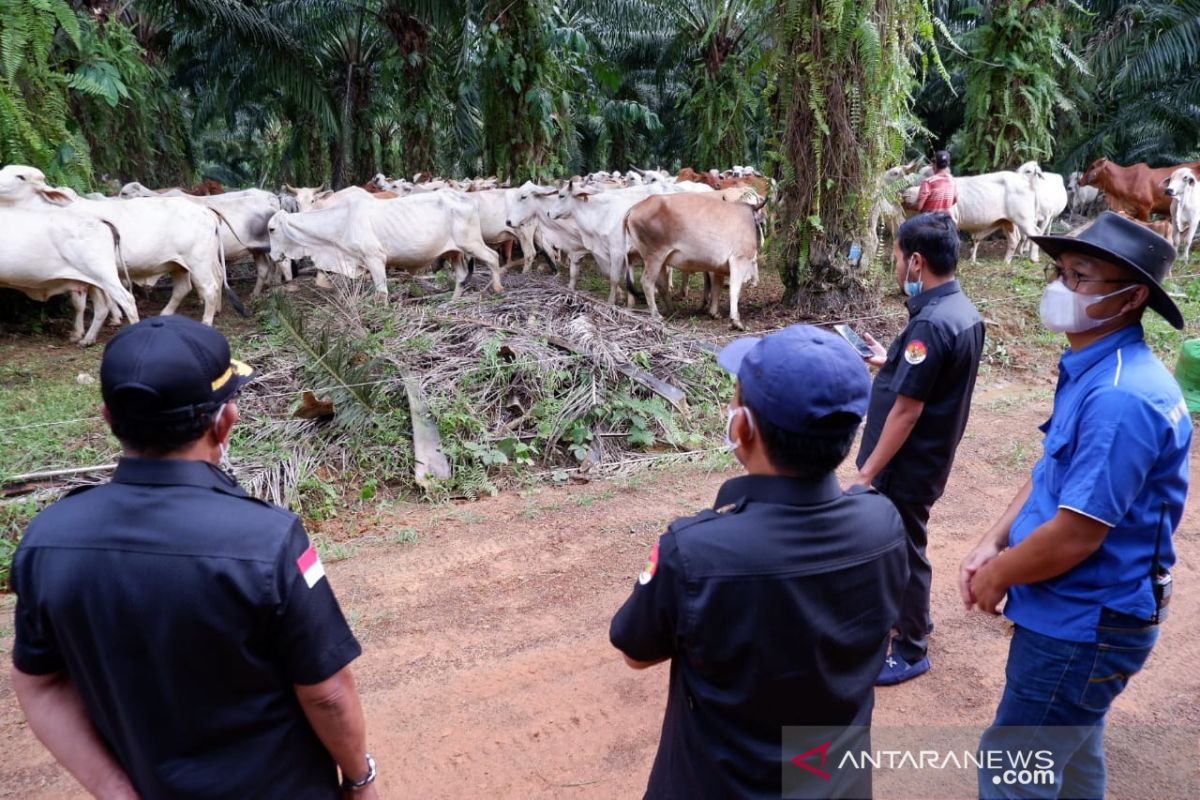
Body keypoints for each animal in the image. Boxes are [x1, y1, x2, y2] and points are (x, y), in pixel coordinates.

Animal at [0, 205, 138, 345]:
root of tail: (99, 219)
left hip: (103, 272)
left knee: (127, 301)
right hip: (94, 280)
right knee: (102, 307)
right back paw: (87, 339)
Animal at [265, 190, 499, 299]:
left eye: (271, 229)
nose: (273, 256)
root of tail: (467, 198)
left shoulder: (375, 258)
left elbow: (381, 293)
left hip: (471, 243)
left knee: (494, 258)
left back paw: (498, 289)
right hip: (454, 252)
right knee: (461, 276)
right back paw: (453, 300)